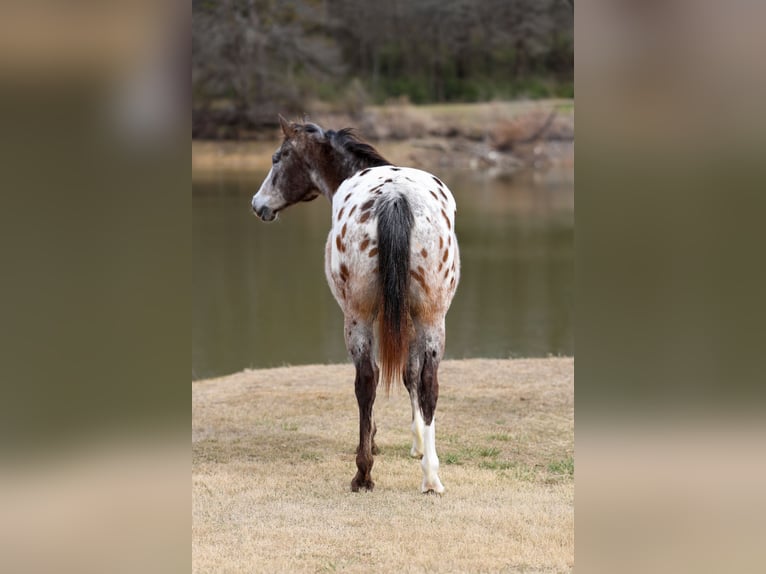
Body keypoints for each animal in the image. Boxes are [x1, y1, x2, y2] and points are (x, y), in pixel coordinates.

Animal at [251, 116, 460, 494]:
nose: (258, 204)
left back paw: (363, 474)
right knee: (429, 383)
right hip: (432, 317)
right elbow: (411, 375)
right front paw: (421, 446)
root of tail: (395, 196)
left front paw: (389, 441)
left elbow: (387, 377)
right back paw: (431, 478)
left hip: (358, 317)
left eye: (277, 157)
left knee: (366, 380)